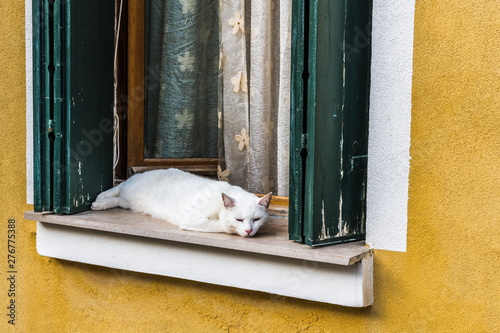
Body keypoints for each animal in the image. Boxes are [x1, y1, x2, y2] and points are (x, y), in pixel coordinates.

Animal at [90, 169, 272, 236]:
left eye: (256, 220)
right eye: (239, 220)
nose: (249, 230)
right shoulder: (192, 219)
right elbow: (220, 225)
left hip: (130, 202)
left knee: (119, 200)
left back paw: (101, 202)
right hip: (131, 188)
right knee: (120, 186)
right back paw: (99, 199)